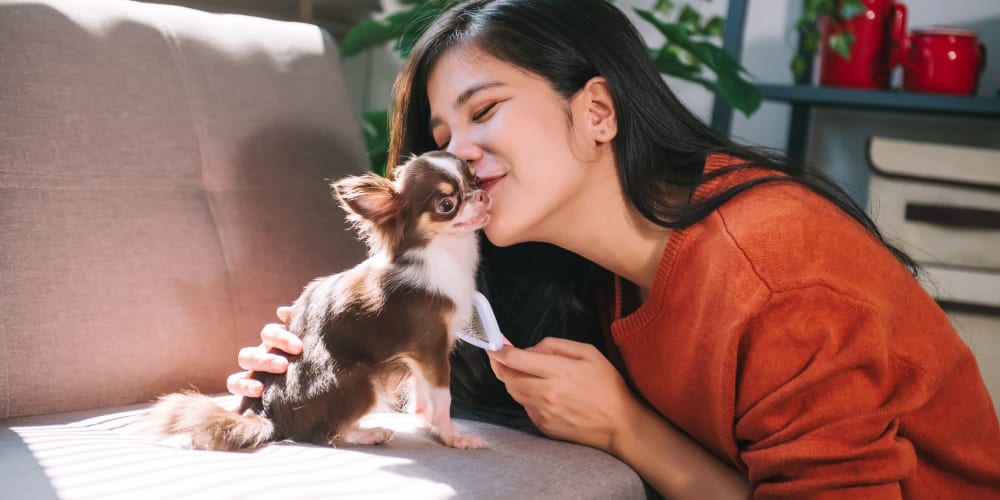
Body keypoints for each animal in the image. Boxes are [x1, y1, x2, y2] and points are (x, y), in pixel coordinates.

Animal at [147, 150, 488, 452]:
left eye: (476, 179)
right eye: (446, 204)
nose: (482, 195)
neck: (443, 253)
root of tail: (269, 417)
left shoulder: (419, 357)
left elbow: (421, 393)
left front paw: (426, 423)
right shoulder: (431, 348)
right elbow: (442, 398)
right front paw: (453, 437)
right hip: (362, 382)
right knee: (321, 434)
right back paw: (369, 434)